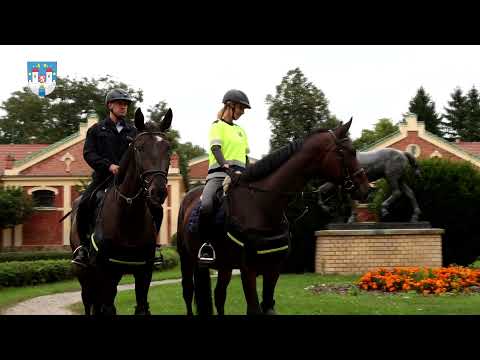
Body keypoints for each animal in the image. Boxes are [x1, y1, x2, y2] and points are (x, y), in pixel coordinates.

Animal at [67, 108, 172, 316]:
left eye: (168, 148)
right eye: (139, 148)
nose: (158, 192)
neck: (128, 218)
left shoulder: (144, 272)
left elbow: (141, 307)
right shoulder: (106, 270)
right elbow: (106, 309)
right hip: (85, 274)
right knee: (89, 302)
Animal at [178, 119, 370, 316]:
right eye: (350, 151)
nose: (366, 188)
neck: (261, 204)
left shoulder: (273, 268)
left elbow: (268, 307)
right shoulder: (248, 270)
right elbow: (254, 309)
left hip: (224, 266)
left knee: (219, 295)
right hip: (187, 259)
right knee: (188, 291)